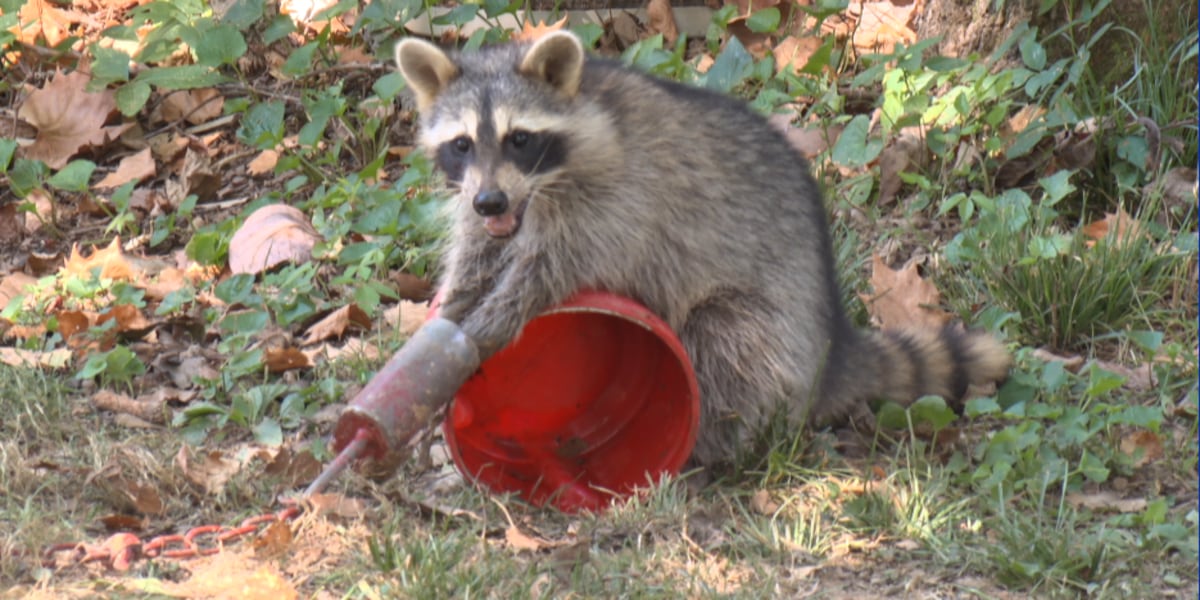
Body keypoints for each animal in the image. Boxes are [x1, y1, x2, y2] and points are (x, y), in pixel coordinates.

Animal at [394, 31, 1010, 466]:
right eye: (461, 144)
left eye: (520, 138)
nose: (491, 202)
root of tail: (831, 348)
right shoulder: (481, 199)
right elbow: (476, 254)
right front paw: (451, 311)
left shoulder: (621, 200)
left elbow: (559, 265)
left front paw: (494, 318)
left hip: (771, 330)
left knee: (725, 342)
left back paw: (718, 449)